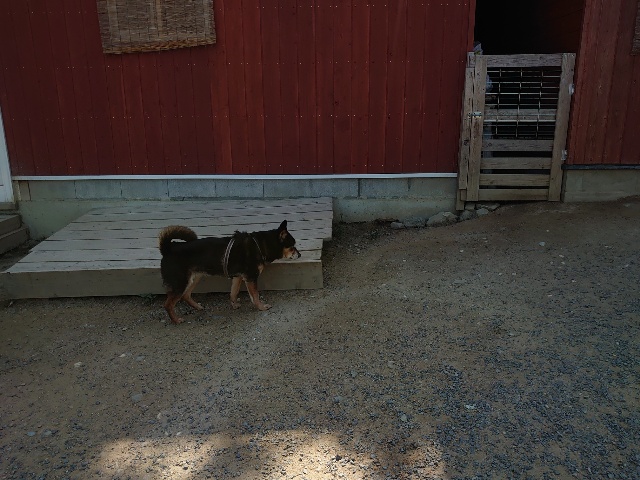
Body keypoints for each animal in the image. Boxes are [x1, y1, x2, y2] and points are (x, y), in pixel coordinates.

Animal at [158, 220, 301, 324]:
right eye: (292, 246)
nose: (299, 255)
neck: (260, 245)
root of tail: (168, 249)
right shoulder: (251, 277)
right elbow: (255, 296)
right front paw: (261, 307)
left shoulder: (238, 277)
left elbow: (233, 292)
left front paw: (234, 304)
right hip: (180, 283)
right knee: (168, 304)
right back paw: (176, 320)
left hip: (194, 278)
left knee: (186, 295)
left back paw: (197, 307)